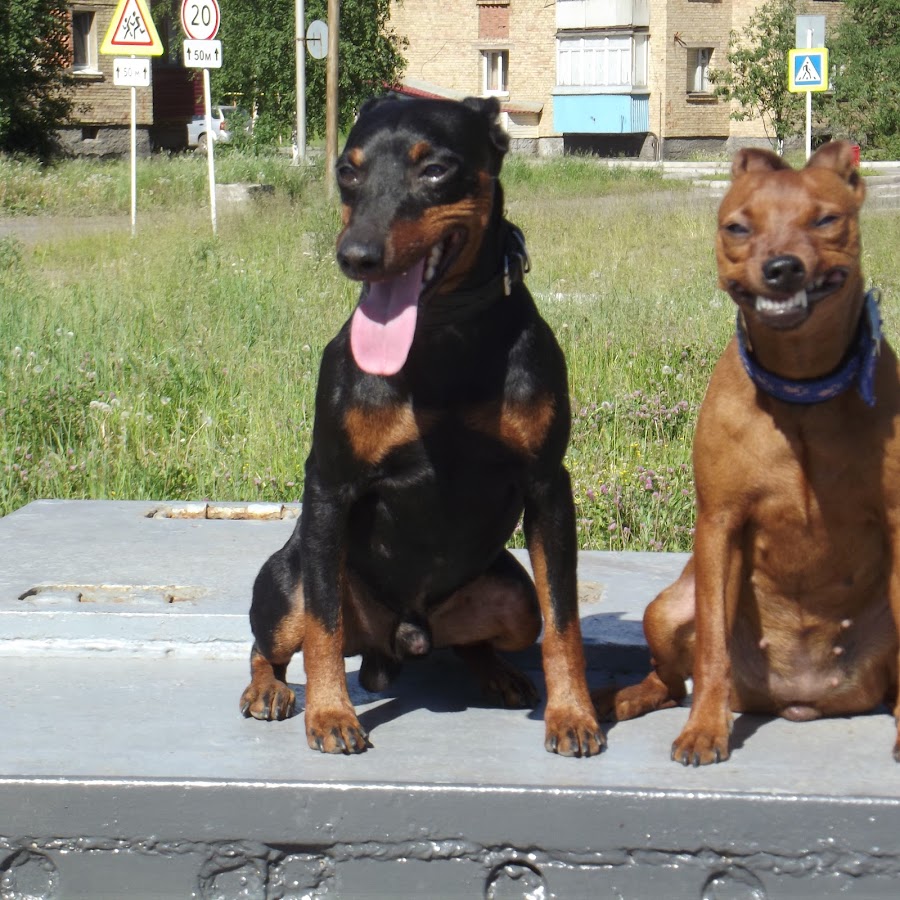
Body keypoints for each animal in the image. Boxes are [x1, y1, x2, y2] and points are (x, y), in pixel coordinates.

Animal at [239, 96, 604, 760]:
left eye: (434, 170)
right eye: (347, 171)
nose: (355, 256)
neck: (441, 338)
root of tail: (400, 642)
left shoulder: (548, 485)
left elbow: (564, 619)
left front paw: (573, 715)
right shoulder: (329, 485)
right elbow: (323, 625)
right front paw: (330, 714)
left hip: (513, 600)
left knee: (482, 639)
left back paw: (497, 674)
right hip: (286, 579)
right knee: (272, 640)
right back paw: (269, 690)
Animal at [596, 144, 900, 764]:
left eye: (825, 219)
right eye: (738, 227)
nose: (782, 267)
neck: (802, 389)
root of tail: (796, 698)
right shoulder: (720, 525)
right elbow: (712, 649)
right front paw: (705, 730)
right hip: (668, 608)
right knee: (671, 681)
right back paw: (625, 697)